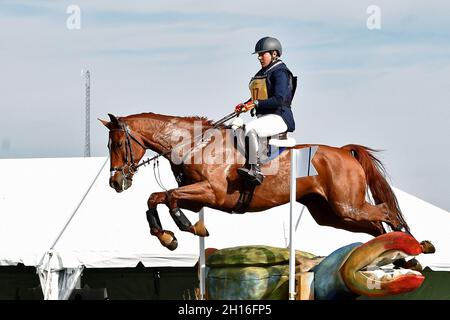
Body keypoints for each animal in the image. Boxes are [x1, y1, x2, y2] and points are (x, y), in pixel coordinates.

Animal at [100, 114, 420, 251]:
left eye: (118, 143)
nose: (116, 182)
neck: (194, 143)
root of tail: (343, 151)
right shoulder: (196, 197)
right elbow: (157, 197)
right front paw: (168, 236)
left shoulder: (213, 193)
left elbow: (168, 197)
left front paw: (184, 228)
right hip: (332, 215)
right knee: (375, 227)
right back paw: (397, 256)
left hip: (346, 206)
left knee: (385, 212)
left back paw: (414, 247)